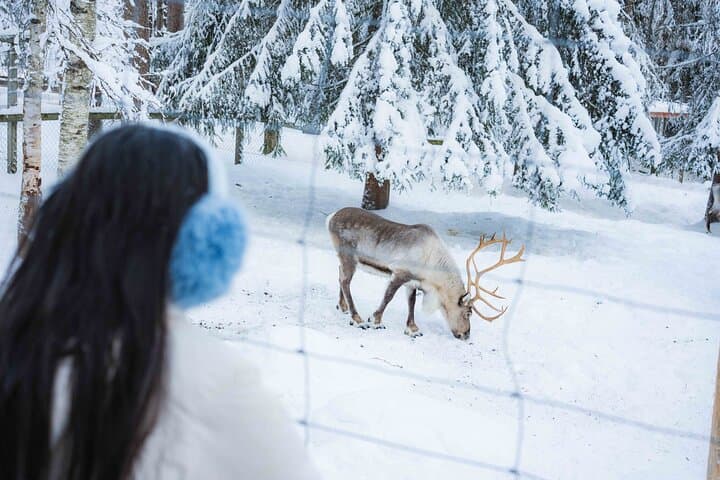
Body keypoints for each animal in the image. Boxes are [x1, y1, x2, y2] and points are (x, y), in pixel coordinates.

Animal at [326, 207, 524, 339]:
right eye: (468, 313)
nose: (466, 335)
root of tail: (331, 217)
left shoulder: (413, 282)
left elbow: (411, 302)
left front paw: (413, 329)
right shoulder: (399, 273)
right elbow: (388, 297)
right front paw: (376, 320)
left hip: (345, 259)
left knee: (340, 276)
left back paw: (342, 307)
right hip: (349, 257)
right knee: (345, 281)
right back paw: (357, 318)